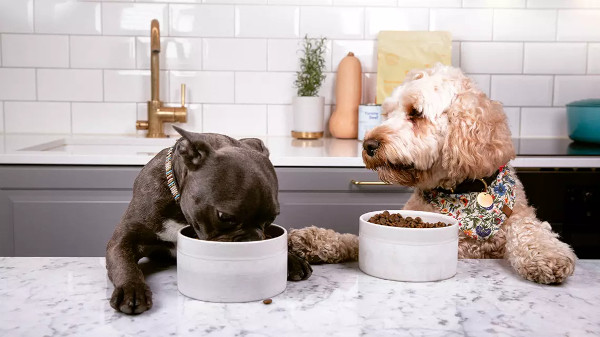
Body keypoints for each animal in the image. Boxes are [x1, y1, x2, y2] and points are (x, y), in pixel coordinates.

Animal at [290, 63, 576, 284]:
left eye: (415, 113)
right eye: (387, 113)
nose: (368, 145)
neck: (462, 192)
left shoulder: (518, 219)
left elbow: (531, 230)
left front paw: (547, 257)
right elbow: (350, 240)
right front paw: (312, 240)